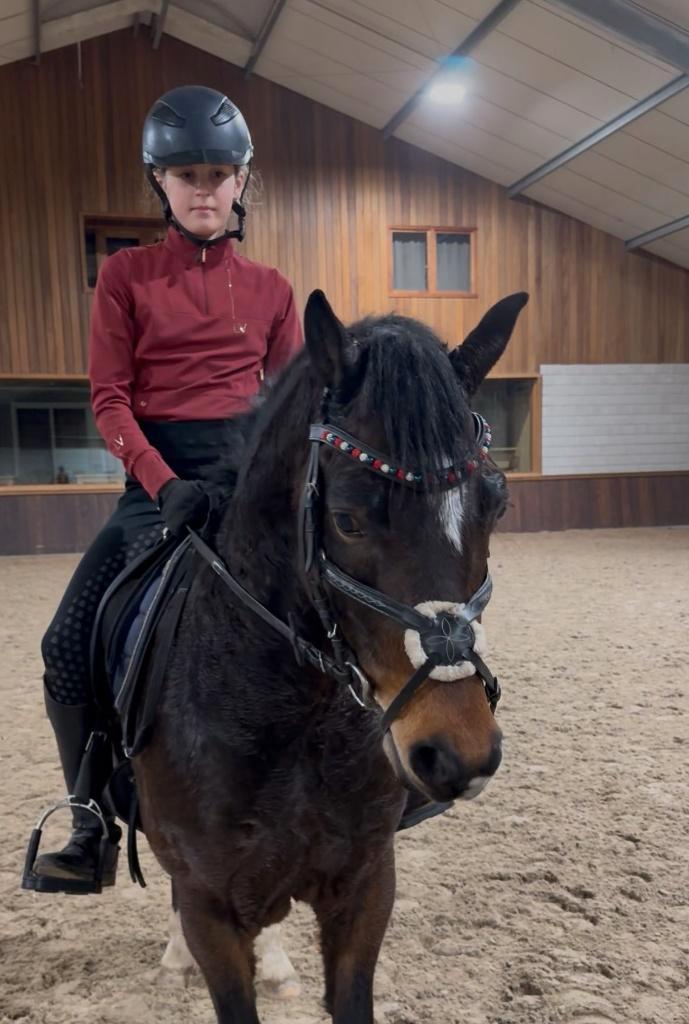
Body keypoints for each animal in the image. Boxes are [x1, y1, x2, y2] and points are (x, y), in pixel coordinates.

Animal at [136, 287, 528, 1023]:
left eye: (495, 505)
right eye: (346, 519)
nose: (459, 753)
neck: (293, 715)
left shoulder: (365, 886)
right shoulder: (209, 906)